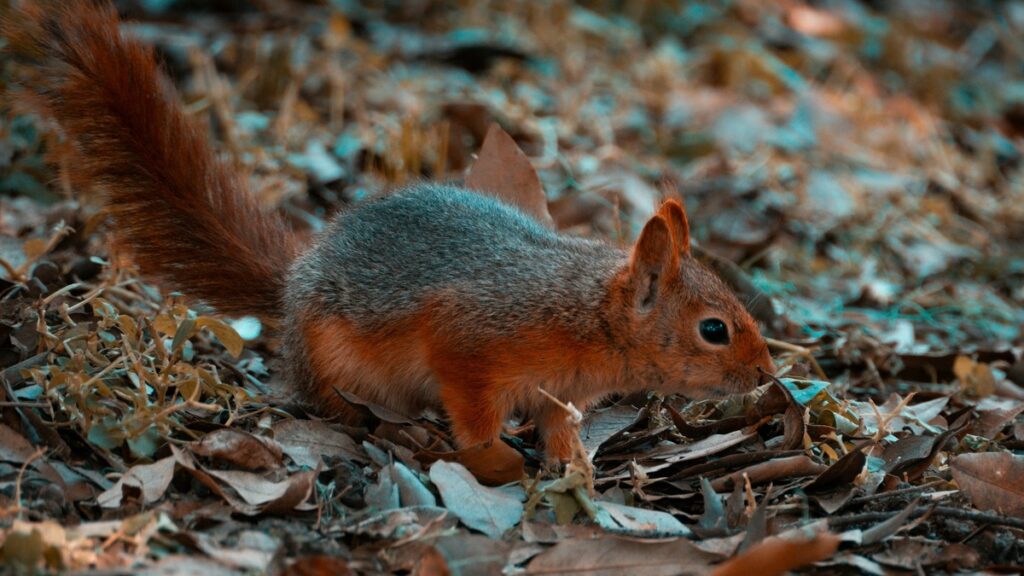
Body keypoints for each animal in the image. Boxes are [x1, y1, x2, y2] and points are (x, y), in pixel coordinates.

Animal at [4, 1, 774, 461]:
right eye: (714, 329)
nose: (768, 377)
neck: (585, 314)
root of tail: (295, 284)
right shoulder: (472, 339)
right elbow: (474, 412)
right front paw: (495, 461)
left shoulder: (560, 398)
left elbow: (559, 430)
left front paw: (573, 470)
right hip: (334, 360)